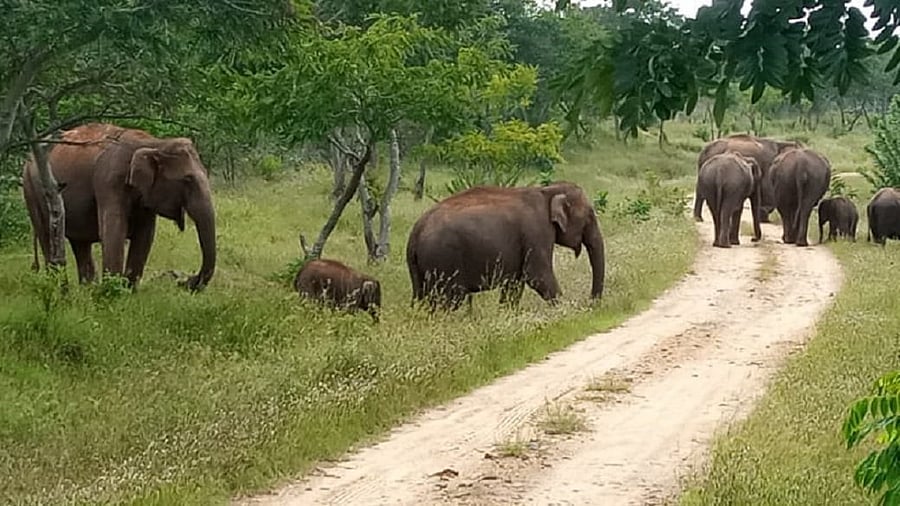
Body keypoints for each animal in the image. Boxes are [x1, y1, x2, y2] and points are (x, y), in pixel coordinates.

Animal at [22, 123, 216, 290]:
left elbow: (145, 236)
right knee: (47, 236)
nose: (186, 281)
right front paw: (112, 294)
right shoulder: (109, 181)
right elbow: (114, 232)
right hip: (32, 189)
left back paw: (86, 290)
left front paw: (127, 293)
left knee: (80, 244)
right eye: (187, 180)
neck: (154, 143)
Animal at [405, 181, 605, 311]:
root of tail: (416, 231)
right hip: (444, 260)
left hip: (420, 268)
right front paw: (567, 312)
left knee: (422, 296)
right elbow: (537, 275)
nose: (590, 304)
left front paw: (507, 314)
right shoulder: (536, 231)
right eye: (589, 216)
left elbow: (516, 283)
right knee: (450, 299)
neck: (547, 190)